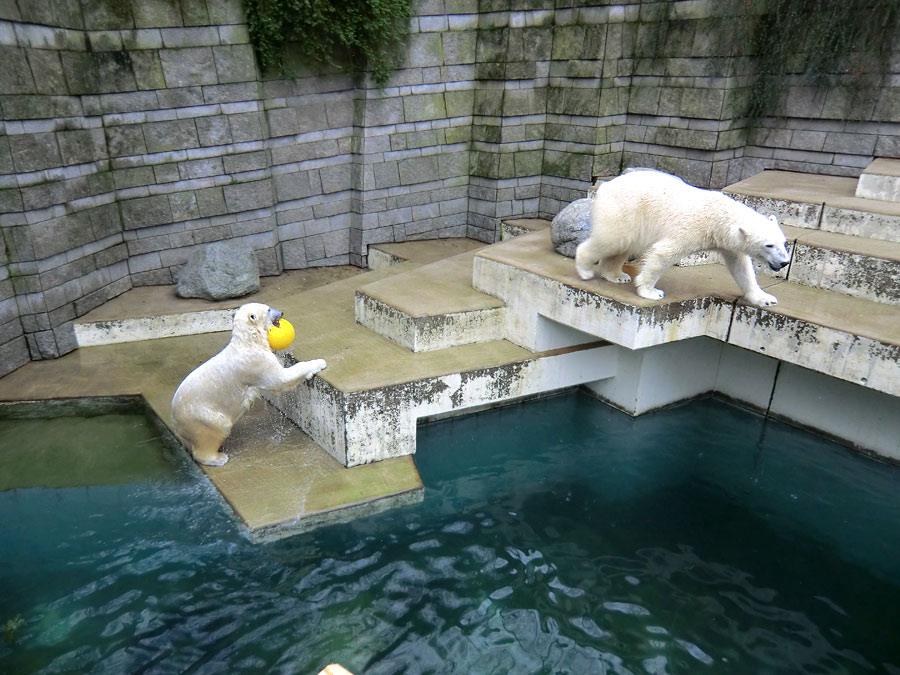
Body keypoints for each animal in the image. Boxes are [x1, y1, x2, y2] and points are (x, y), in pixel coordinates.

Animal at [169, 304, 326, 468]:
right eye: (268, 309)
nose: (281, 312)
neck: (248, 341)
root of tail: (174, 422)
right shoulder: (256, 362)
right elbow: (279, 379)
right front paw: (318, 363)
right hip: (202, 417)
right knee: (215, 430)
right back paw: (218, 458)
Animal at [572, 170, 792, 308]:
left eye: (783, 242)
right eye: (768, 245)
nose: (784, 262)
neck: (719, 217)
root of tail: (605, 186)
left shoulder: (729, 244)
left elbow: (742, 268)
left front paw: (765, 298)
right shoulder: (692, 228)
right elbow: (663, 253)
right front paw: (651, 292)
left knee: (623, 245)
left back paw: (617, 275)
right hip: (623, 210)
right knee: (612, 239)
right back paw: (585, 270)